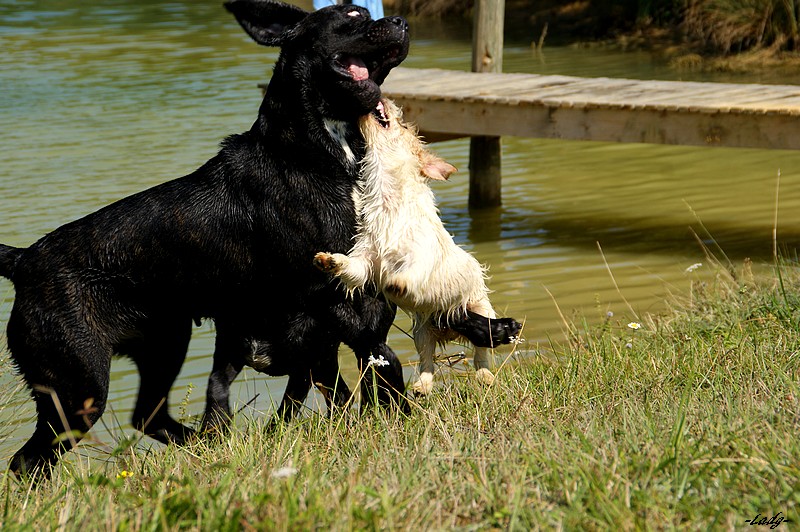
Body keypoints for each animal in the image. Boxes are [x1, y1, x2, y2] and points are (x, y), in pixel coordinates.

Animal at [0, 0, 410, 480]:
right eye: (351, 16)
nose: (400, 21)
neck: (313, 152)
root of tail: (23, 261)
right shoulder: (334, 296)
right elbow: (370, 359)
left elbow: (352, 377)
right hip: (78, 386)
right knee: (27, 461)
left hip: (162, 345)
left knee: (147, 414)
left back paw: (205, 445)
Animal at [312, 97, 520, 392]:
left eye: (405, 126)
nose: (385, 98)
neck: (390, 204)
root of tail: (449, 330)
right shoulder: (366, 259)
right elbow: (352, 268)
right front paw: (329, 261)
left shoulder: (420, 255)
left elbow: (410, 272)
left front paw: (397, 284)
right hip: (423, 330)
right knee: (427, 359)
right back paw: (423, 385)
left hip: (480, 308)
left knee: (481, 351)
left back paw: (484, 375)